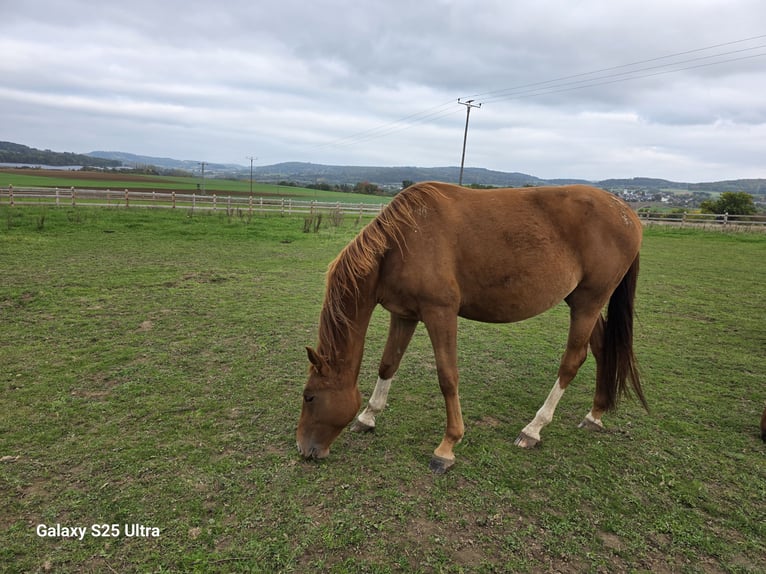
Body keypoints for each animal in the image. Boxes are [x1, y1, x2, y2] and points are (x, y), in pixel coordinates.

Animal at [297, 181, 647, 473]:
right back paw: (595, 414)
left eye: (309, 397)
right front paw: (368, 417)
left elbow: (447, 378)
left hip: (589, 302)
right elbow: (388, 364)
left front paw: (447, 447)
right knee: (601, 349)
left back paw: (533, 429)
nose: (304, 449)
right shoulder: (405, 314)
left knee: (572, 361)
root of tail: (628, 213)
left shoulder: (440, 313)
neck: (402, 242)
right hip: (581, 302)